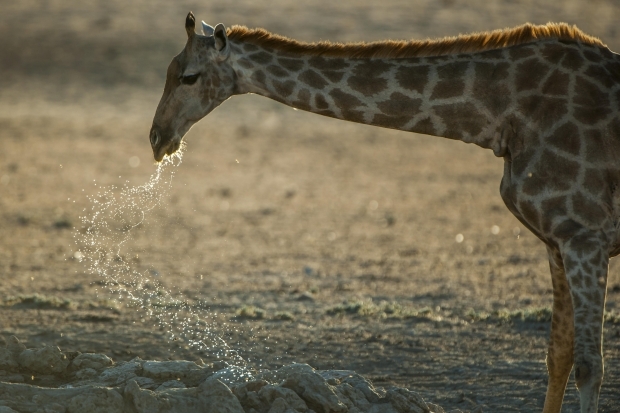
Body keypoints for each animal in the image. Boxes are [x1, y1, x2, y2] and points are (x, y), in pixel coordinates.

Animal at [150, 11, 620, 410]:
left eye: (189, 76)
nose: (157, 138)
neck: (502, 117)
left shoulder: (585, 236)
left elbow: (589, 366)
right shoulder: (558, 239)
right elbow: (558, 356)